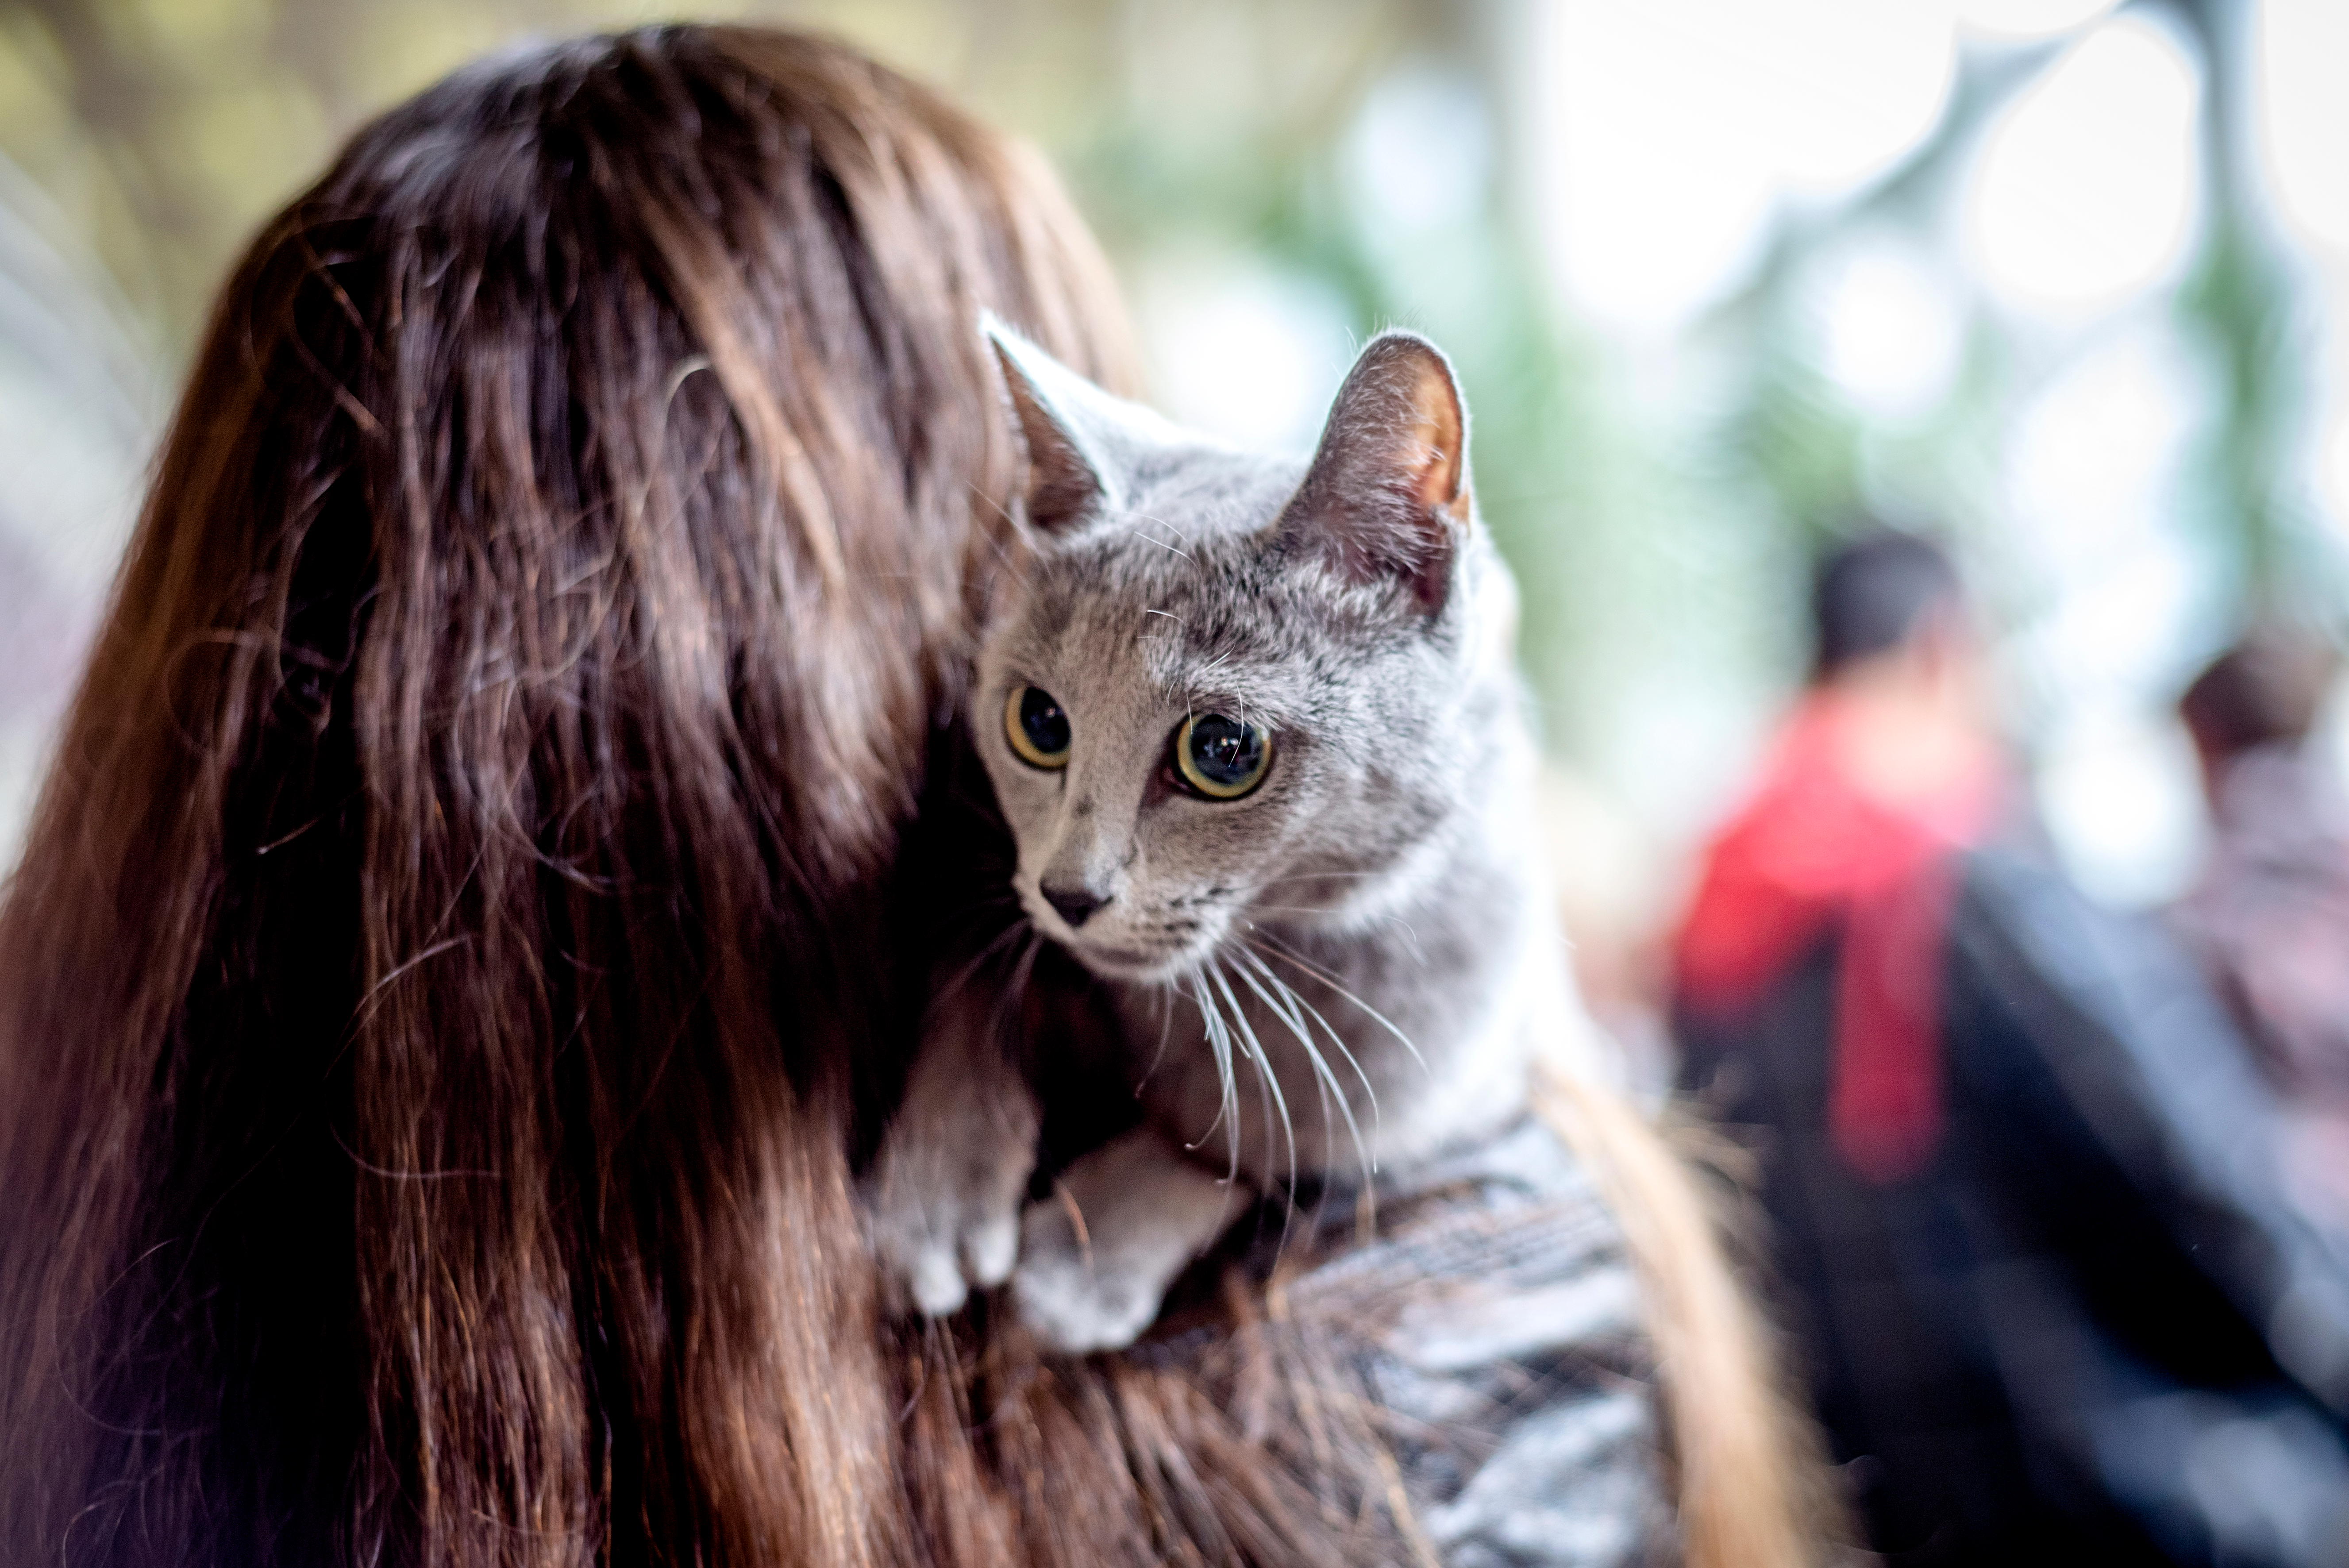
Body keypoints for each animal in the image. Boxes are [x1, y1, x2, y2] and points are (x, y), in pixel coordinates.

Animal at [864, 320, 1578, 1354]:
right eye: (1038, 722)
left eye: (1222, 751)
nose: (1068, 893)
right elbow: (975, 979)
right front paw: (939, 1194)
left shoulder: (1467, 1066)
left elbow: (1278, 1139)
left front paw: (1087, 1259)